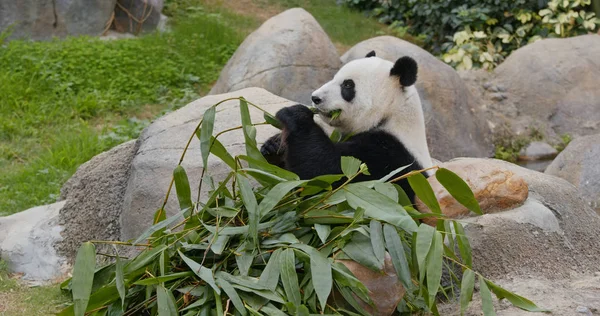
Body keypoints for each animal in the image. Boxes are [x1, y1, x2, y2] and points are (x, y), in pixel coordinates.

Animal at [260, 50, 434, 201]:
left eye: (348, 85)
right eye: (334, 77)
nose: (315, 98)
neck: (390, 114)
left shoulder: (390, 160)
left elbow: (329, 173)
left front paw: (296, 115)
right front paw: (274, 146)